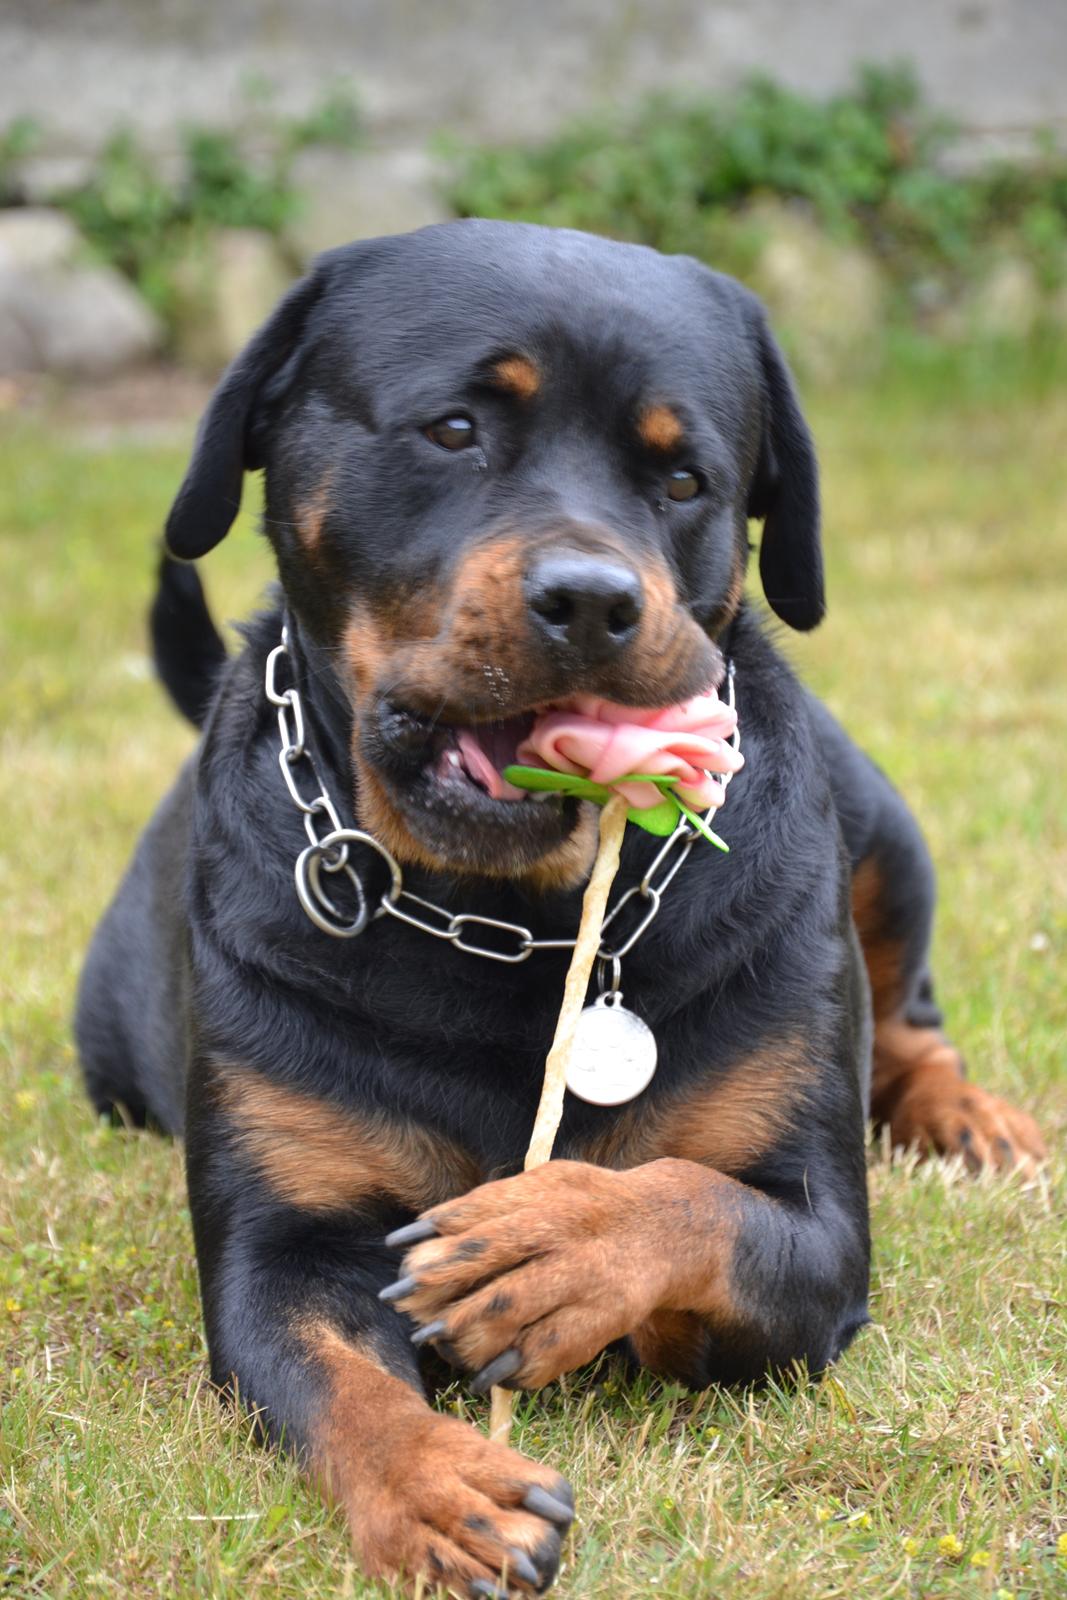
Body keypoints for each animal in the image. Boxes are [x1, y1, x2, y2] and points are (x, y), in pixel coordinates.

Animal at [75, 219, 1043, 1593]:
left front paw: (556, 1245)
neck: (502, 916)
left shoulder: (817, 1238)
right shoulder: (278, 1244)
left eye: (684, 477)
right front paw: (441, 1487)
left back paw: (968, 1118)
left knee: (909, 1016)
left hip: (883, 825)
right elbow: (333, 1375)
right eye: (453, 429)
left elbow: (701, 1204)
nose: (591, 597)